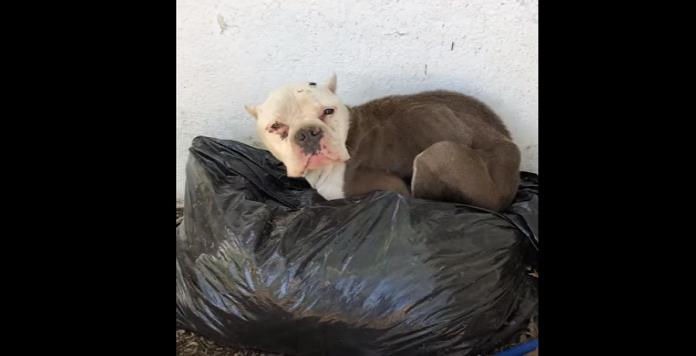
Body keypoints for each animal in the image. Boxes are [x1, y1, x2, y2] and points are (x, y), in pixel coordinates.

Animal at [246, 73, 520, 210]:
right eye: (276, 126)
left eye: (327, 112)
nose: (307, 133)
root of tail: (507, 142)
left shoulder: (391, 187)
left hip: (437, 155)